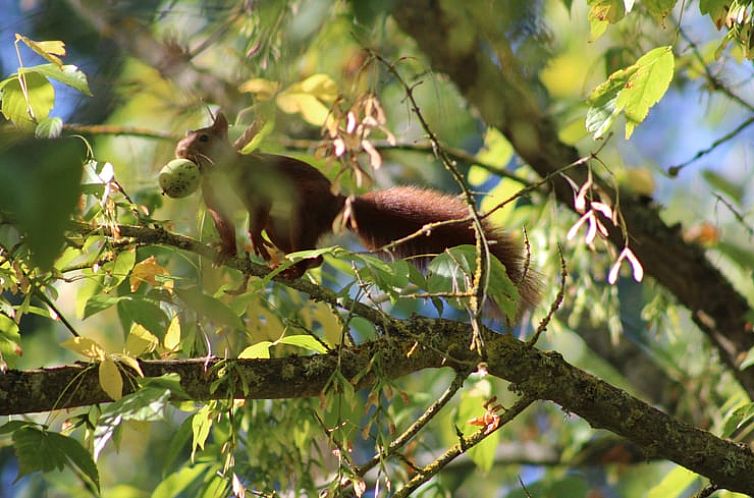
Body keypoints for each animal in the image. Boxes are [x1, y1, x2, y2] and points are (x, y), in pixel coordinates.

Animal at [173, 114, 536, 312]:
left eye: (203, 137)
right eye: (186, 136)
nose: (179, 150)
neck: (218, 172)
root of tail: (340, 205)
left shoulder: (254, 185)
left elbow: (255, 213)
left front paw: (252, 238)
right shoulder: (214, 201)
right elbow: (223, 224)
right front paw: (225, 249)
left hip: (304, 212)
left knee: (313, 253)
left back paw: (295, 267)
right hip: (284, 225)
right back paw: (290, 265)